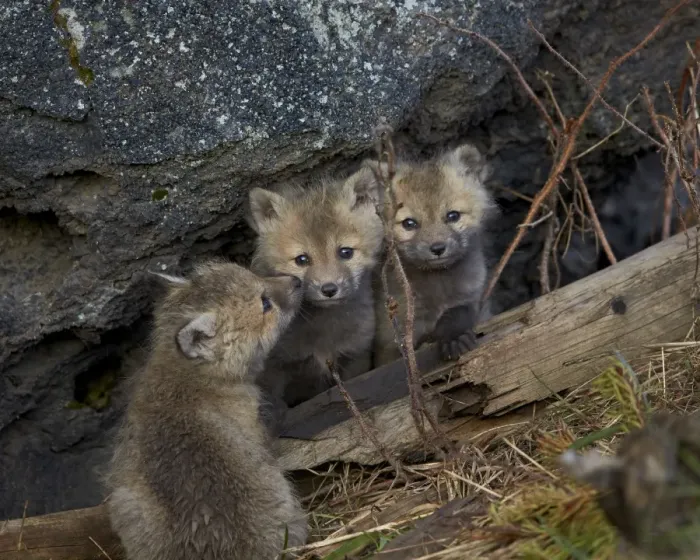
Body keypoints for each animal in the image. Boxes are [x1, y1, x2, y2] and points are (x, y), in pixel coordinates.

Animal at [248, 169, 384, 412]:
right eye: (302, 259)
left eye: (345, 252)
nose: (328, 289)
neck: (324, 333)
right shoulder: (275, 370)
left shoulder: (355, 357)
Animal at [370, 143, 497, 367]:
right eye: (409, 223)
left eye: (453, 216)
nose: (437, 248)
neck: (438, 287)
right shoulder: (390, 338)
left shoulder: (474, 299)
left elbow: (458, 312)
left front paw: (454, 338)